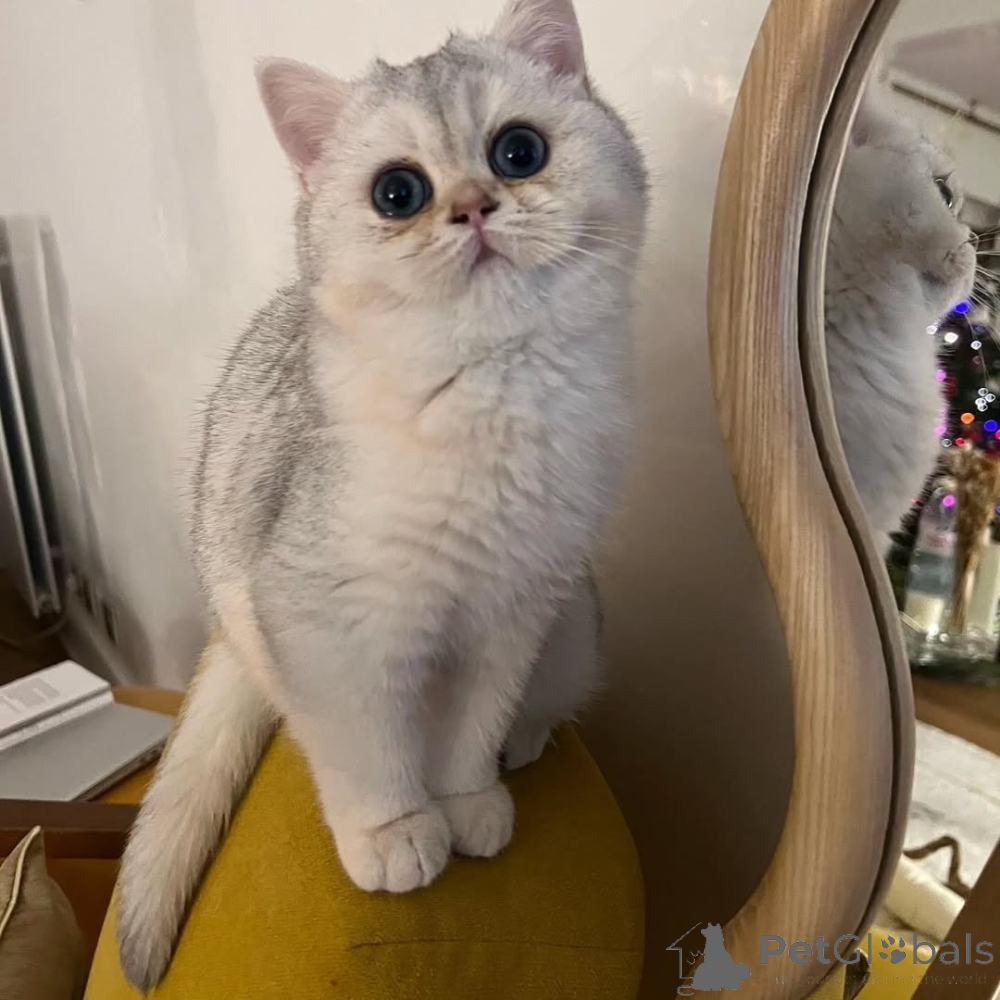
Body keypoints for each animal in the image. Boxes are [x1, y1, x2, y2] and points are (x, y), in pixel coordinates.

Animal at [116, 0, 647, 990]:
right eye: (398, 194)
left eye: (519, 151)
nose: (473, 205)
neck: (492, 392)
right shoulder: (328, 622)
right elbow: (369, 748)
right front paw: (398, 831)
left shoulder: (513, 611)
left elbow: (472, 726)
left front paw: (467, 798)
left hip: (576, 626)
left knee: (545, 704)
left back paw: (524, 742)